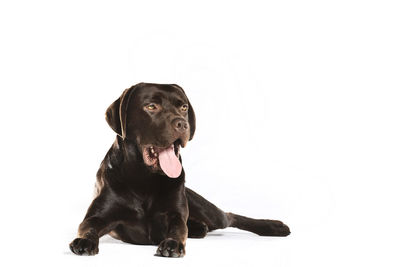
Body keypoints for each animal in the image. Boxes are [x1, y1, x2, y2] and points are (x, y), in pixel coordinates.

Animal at [69, 82, 290, 258]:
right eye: (151, 106)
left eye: (183, 107)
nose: (182, 124)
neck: (144, 179)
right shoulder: (97, 216)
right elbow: (88, 227)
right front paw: (85, 242)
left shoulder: (174, 213)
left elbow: (177, 228)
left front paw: (173, 243)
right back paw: (199, 228)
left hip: (207, 210)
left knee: (229, 216)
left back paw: (274, 226)